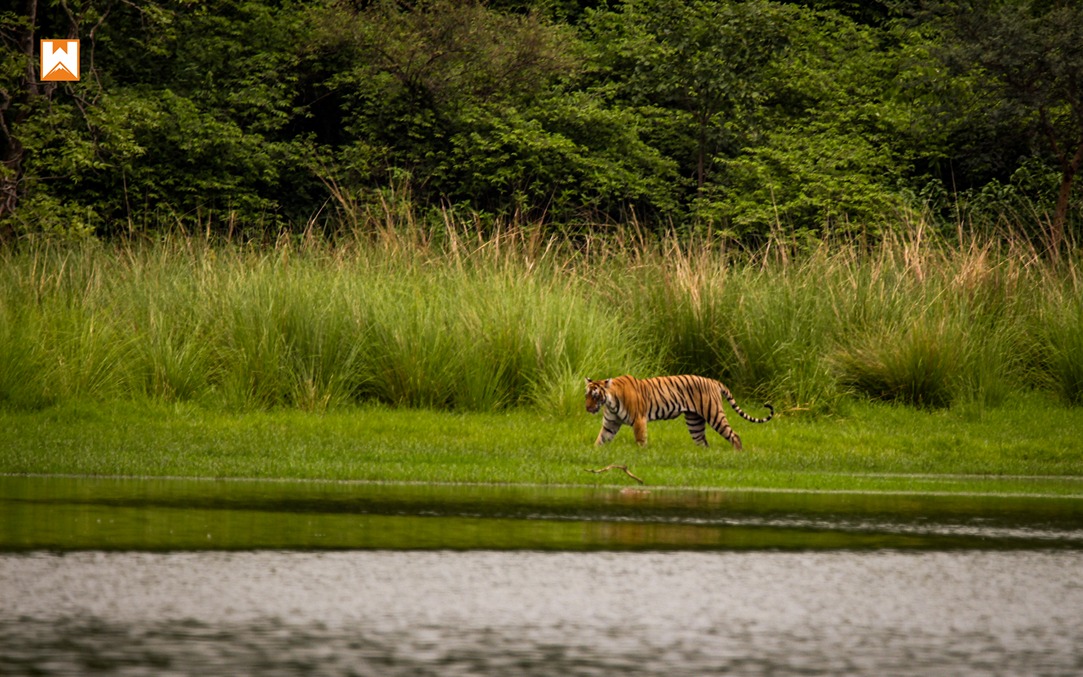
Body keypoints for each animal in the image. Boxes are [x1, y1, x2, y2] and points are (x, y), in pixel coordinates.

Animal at [584, 374, 773, 450]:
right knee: (703, 442)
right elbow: (600, 439)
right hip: (694, 422)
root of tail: (713, 380)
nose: (587, 408)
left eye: (595, 396)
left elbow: (640, 440)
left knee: (734, 435)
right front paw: (593, 452)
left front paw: (641, 453)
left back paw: (737, 453)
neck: (610, 402)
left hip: (714, 414)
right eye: (586, 395)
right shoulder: (610, 423)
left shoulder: (639, 420)